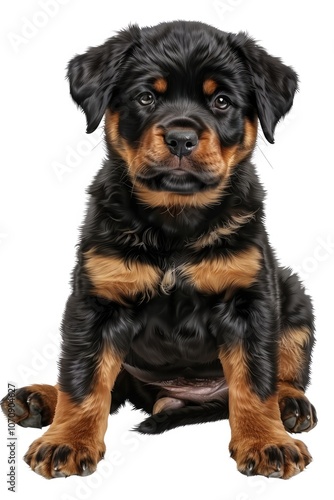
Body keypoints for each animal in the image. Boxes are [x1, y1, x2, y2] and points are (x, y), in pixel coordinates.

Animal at [1, 21, 318, 478]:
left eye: (222, 101)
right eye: (146, 97)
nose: (181, 138)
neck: (175, 226)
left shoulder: (249, 300)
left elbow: (256, 380)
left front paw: (267, 442)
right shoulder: (95, 301)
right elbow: (83, 380)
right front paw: (68, 442)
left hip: (291, 291)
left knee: (285, 371)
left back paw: (291, 404)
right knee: (100, 384)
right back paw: (37, 399)